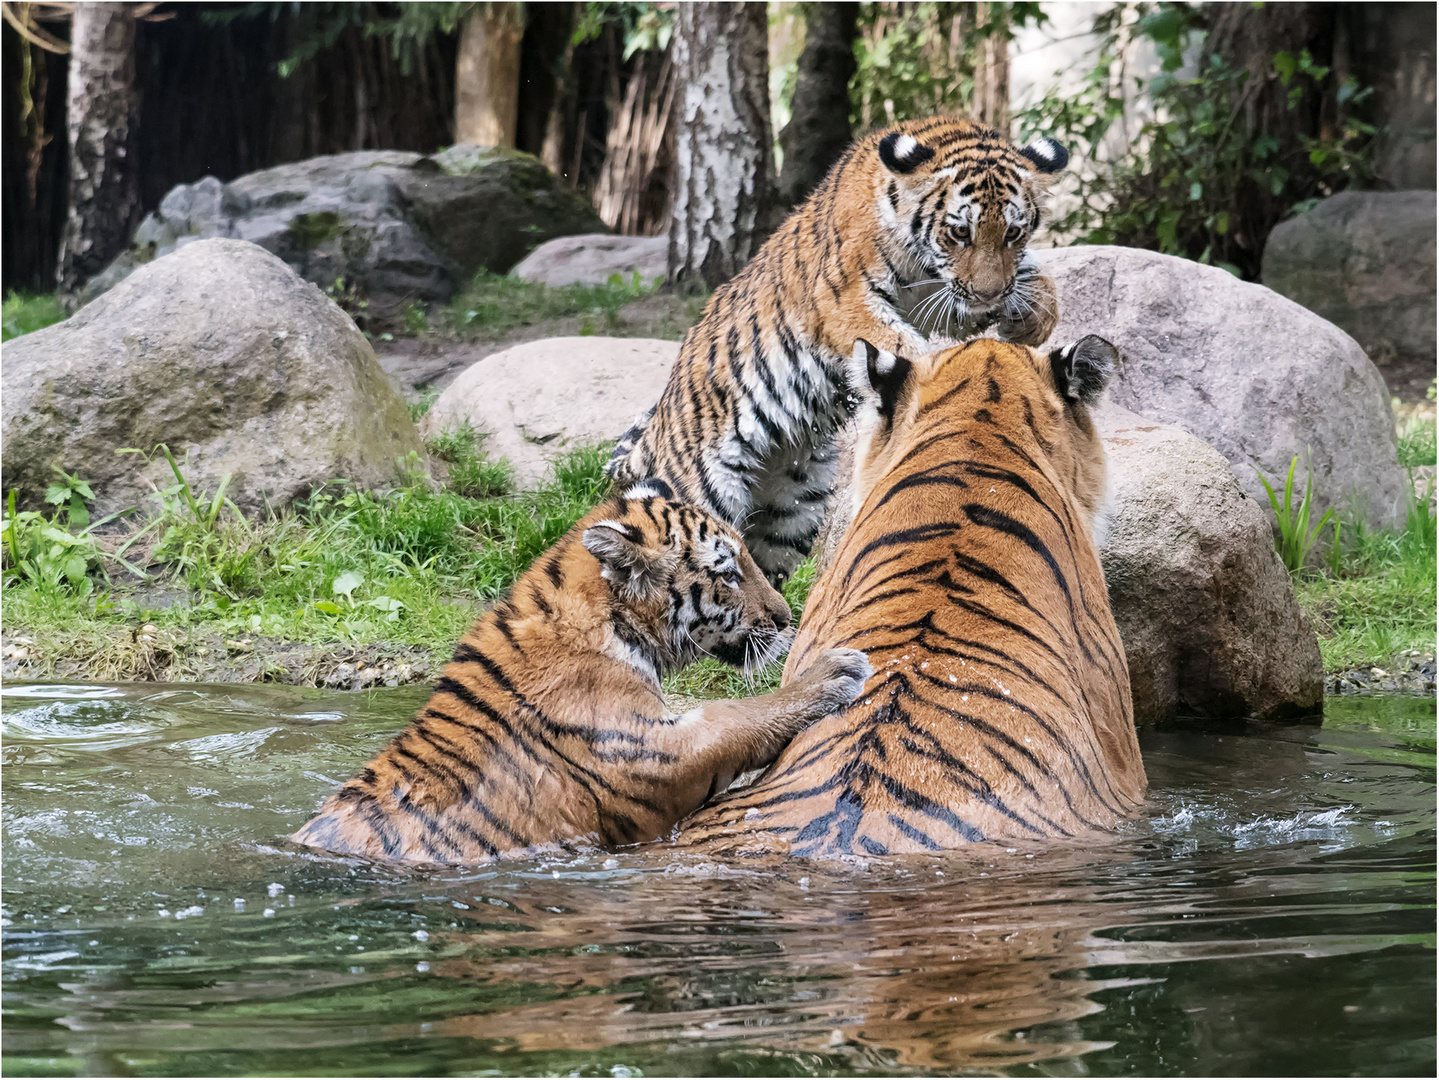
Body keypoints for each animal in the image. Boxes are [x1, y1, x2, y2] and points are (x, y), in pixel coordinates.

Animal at [290, 477, 863, 868]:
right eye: (728, 573)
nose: (785, 618)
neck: (607, 623)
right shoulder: (656, 749)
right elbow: (736, 717)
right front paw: (835, 671)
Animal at [607, 115, 1070, 586]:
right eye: (960, 233)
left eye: (1013, 233)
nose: (989, 295)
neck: (923, 264)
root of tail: (662, 417)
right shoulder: (846, 303)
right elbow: (907, 347)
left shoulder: (945, 298)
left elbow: (1038, 280)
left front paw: (1030, 320)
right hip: (704, 489)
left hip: (793, 507)